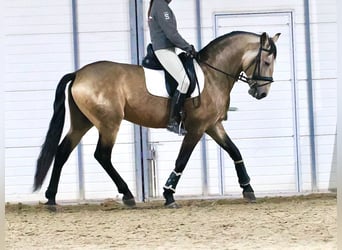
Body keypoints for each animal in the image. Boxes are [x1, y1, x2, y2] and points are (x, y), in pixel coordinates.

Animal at [34, 30, 280, 207]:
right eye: (267, 62)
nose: (262, 93)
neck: (212, 74)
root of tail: (78, 73)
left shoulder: (213, 125)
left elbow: (235, 151)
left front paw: (248, 189)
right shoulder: (197, 128)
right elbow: (182, 160)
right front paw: (168, 195)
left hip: (82, 122)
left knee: (63, 151)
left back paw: (51, 198)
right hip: (109, 123)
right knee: (102, 155)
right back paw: (128, 195)